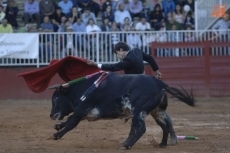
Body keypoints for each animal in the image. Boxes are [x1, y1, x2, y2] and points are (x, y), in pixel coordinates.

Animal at [47, 72, 195, 149]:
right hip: (157, 111)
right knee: (164, 125)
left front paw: (55, 135)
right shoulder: (87, 113)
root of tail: (160, 84)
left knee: (142, 128)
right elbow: (68, 120)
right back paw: (162, 144)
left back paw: (127, 145)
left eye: (55, 99)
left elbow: (71, 123)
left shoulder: (81, 110)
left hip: (138, 111)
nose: (51, 115)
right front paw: (57, 126)